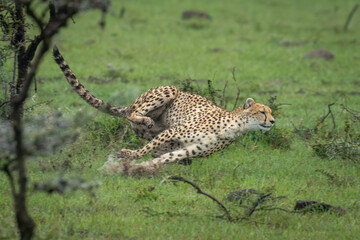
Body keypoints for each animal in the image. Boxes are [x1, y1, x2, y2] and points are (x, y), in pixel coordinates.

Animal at [52, 46, 276, 174]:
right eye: (263, 112)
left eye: (271, 112)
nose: (273, 121)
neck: (235, 127)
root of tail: (130, 104)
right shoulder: (172, 131)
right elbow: (144, 150)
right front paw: (128, 155)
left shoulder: (189, 148)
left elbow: (165, 158)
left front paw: (141, 167)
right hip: (168, 91)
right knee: (136, 115)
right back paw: (144, 119)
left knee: (158, 149)